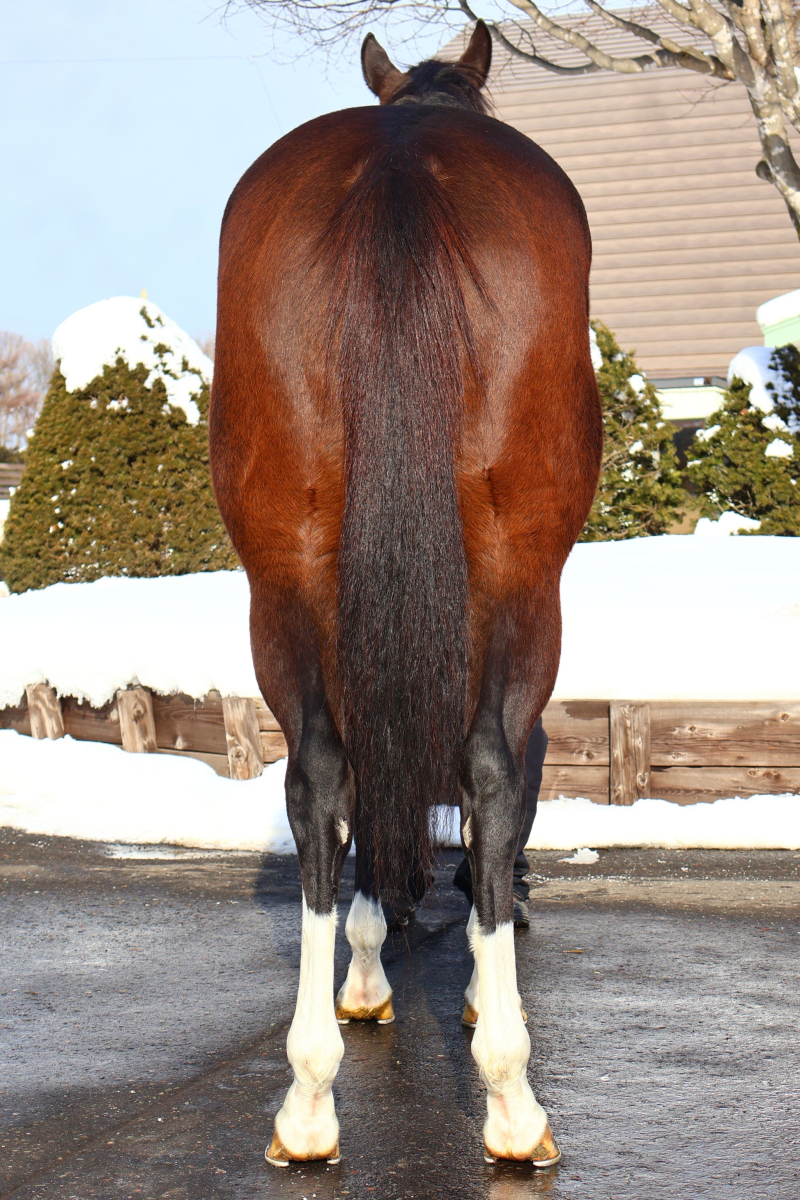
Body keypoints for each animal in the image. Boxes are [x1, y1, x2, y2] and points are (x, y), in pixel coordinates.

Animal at [210, 19, 602, 1170]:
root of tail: (396, 167)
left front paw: (369, 967)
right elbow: (497, 790)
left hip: (284, 582)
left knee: (320, 781)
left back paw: (306, 1097)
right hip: (522, 585)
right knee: (490, 775)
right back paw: (511, 1097)